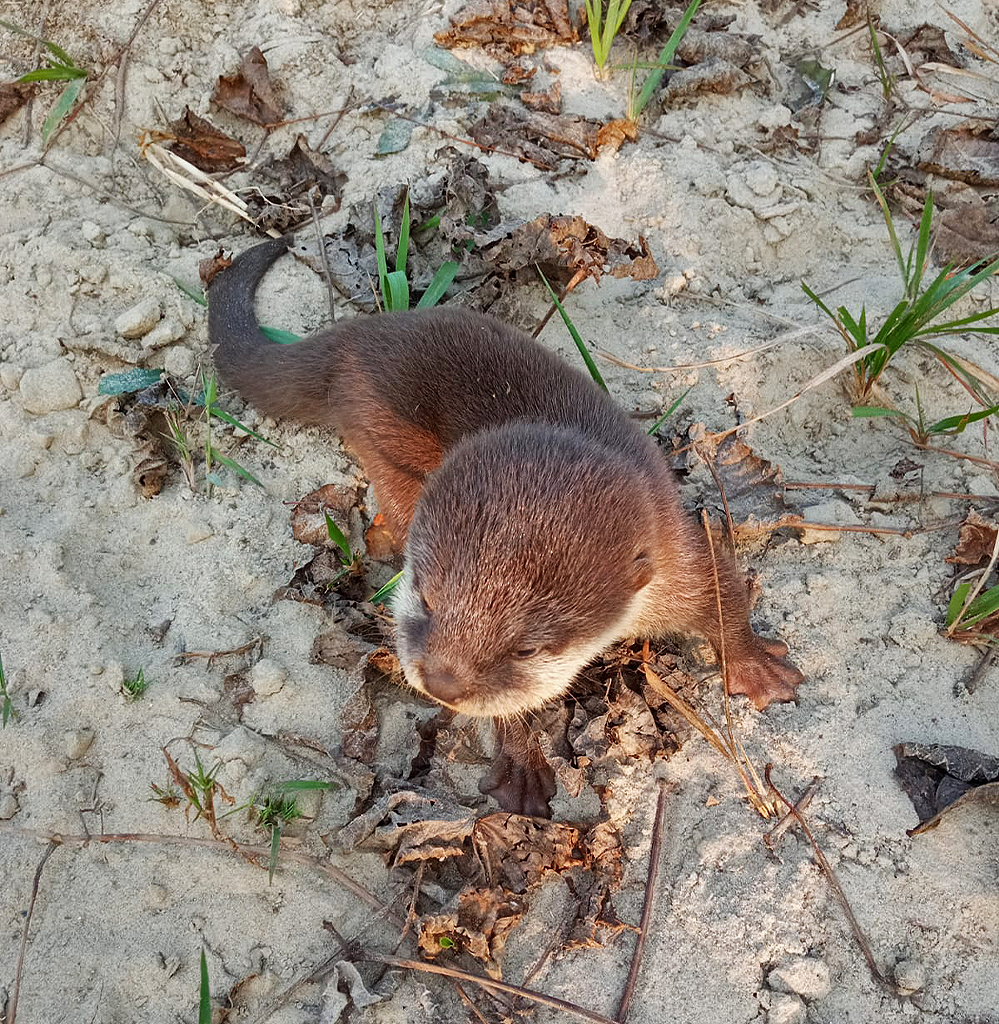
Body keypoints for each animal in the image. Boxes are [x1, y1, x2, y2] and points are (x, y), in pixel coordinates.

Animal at [208, 237, 803, 817]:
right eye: (426, 600)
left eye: (527, 650)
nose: (442, 683)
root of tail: (363, 333)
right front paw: (520, 763)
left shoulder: (675, 548)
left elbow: (723, 589)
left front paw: (759, 667)